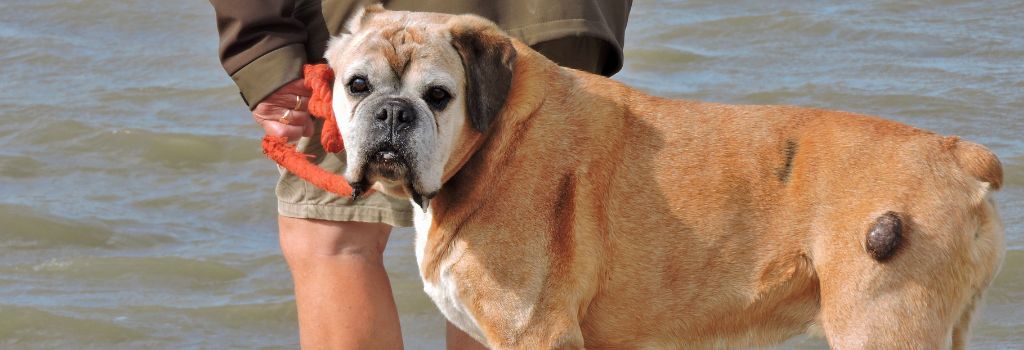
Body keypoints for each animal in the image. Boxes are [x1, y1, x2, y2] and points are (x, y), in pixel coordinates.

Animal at [323, 5, 1003, 350]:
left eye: (439, 96)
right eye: (356, 84)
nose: (392, 112)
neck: (496, 139)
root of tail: (957, 153)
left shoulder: (535, 333)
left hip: (881, 329)